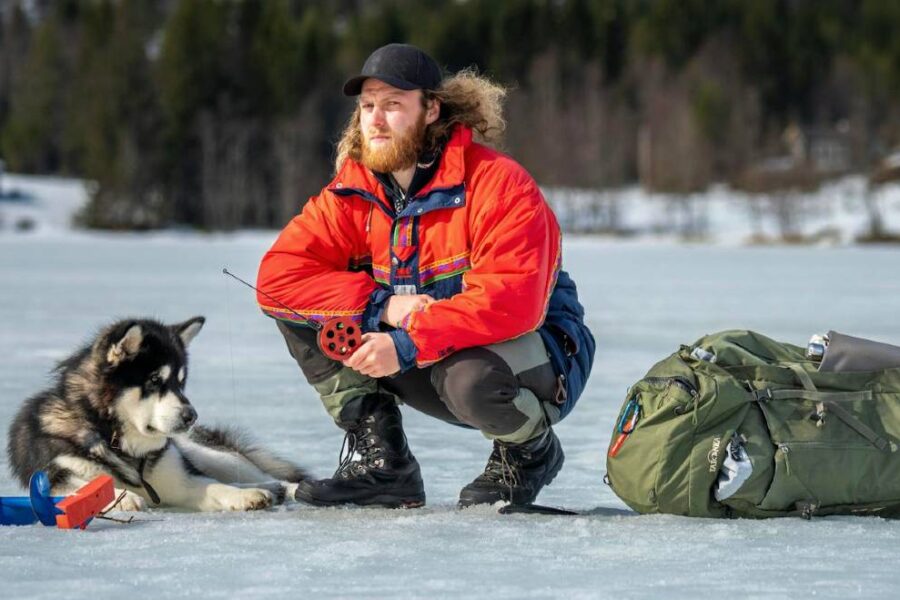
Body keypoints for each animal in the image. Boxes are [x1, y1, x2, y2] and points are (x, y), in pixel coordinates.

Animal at [5, 318, 310, 510]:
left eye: (180, 382)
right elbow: (81, 488)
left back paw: (284, 488)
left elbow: (215, 487)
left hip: (208, 454)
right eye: (154, 380)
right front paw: (121, 497)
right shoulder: (55, 475)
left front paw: (247, 495)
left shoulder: (179, 477)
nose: (191, 416)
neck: (120, 443)